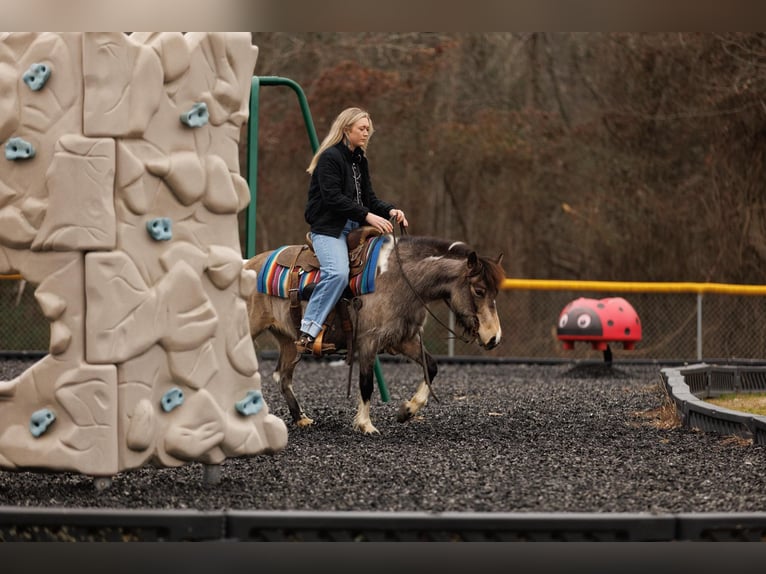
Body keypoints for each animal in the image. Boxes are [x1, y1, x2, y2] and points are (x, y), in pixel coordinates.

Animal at [246, 232, 508, 434]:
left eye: (495, 292)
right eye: (479, 290)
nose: (494, 337)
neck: (399, 279)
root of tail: (247, 265)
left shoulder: (404, 339)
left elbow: (431, 367)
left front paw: (407, 410)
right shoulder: (368, 342)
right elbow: (366, 383)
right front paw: (366, 425)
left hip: (289, 341)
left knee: (283, 377)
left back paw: (300, 417)